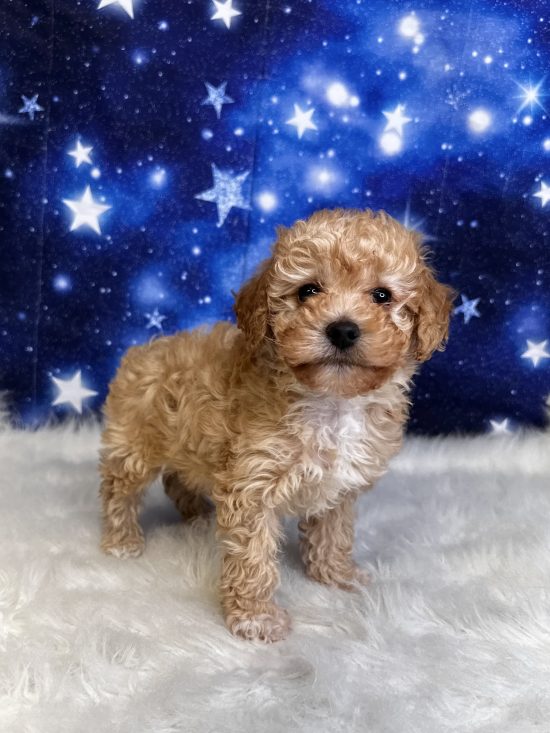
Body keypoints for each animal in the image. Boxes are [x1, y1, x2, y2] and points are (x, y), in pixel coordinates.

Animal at [99, 208, 454, 642]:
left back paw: (197, 514)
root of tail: (143, 349)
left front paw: (336, 574)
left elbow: (334, 532)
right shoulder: (252, 486)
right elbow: (253, 560)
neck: (331, 401)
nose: (342, 329)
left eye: (382, 295)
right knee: (119, 490)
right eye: (308, 291)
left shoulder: (339, 487)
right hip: (134, 442)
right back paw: (122, 540)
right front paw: (256, 618)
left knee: (176, 478)